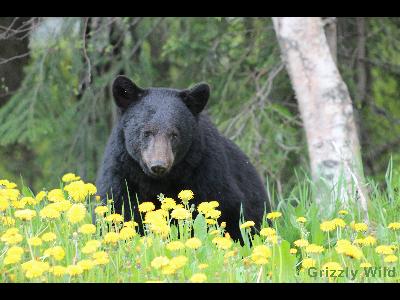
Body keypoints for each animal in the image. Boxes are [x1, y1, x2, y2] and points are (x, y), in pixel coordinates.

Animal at [94, 75, 268, 241]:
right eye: (147, 132)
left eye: (174, 134)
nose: (158, 165)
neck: (158, 182)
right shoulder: (122, 172)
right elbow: (118, 208)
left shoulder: (207, 172)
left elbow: (226, 210)